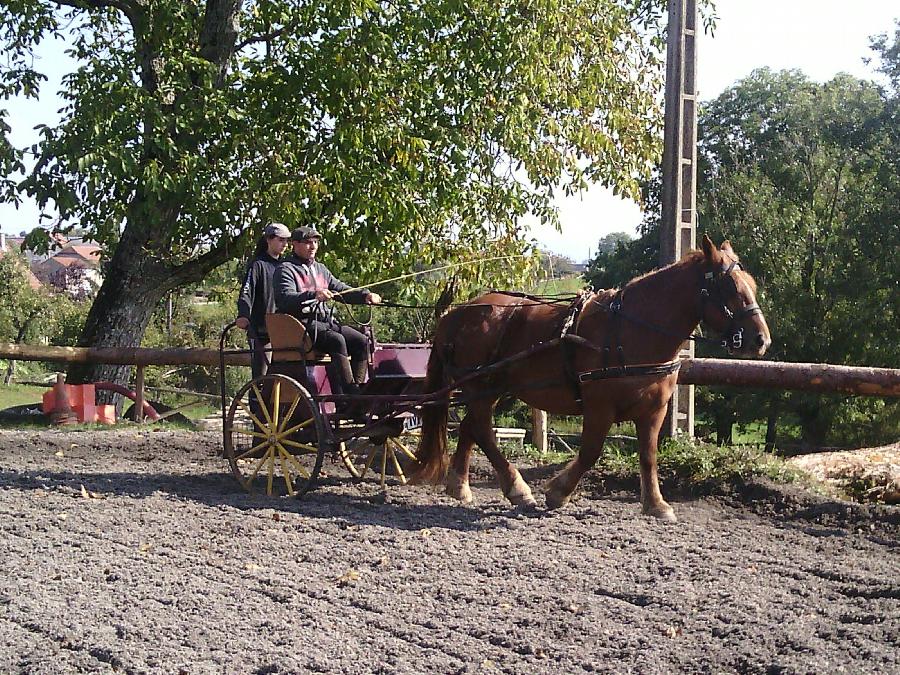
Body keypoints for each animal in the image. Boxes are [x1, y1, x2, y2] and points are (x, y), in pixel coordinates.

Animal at [412, 234, 768, 524]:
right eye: (732, 287)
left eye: (751, 284)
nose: (761, 340)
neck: (630, 330)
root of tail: (459, 313)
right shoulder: (599, 406)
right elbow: (590, 452)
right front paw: (558, 491)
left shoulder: (655, 410)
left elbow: (648, 456)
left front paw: (656, 505)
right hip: (480, 386)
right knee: (483, 430)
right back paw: (516, 488)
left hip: (490, 387)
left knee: (472, 426)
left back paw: (460, 486)